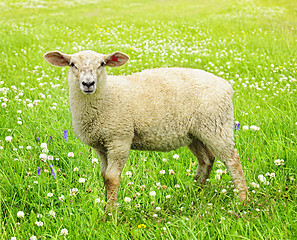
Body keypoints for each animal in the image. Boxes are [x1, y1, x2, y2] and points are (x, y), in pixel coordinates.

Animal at [43, 50, 247, 208]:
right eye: (72, 64)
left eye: (102, 64)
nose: (88, 83)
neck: (107, 96)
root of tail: (226, 85)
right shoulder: (101, 145)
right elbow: (104, 176)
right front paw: (106, 207)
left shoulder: (119, 139)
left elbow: (111, 178)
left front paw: (110, 214)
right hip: (194, 133)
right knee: (206, 159)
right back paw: (195, 190)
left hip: (217, 125)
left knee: (232, 159)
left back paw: (242, 199)